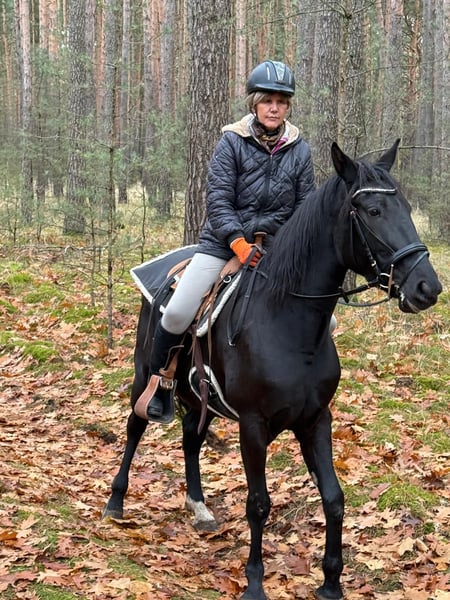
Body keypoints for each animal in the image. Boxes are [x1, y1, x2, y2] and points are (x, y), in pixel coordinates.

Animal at [103, 140, 442, 600]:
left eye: (406, 206)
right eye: (373, 211)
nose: (428, 287)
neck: (288, 323)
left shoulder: (315, 420)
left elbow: (334, 497)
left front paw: (331, 582)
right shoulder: (253, 424)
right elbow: (258, 503)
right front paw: (254, 582)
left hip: (201, 397)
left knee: (191, 438)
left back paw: (199, 507)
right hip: (146, 375)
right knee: (135, 426)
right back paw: (115, 503)